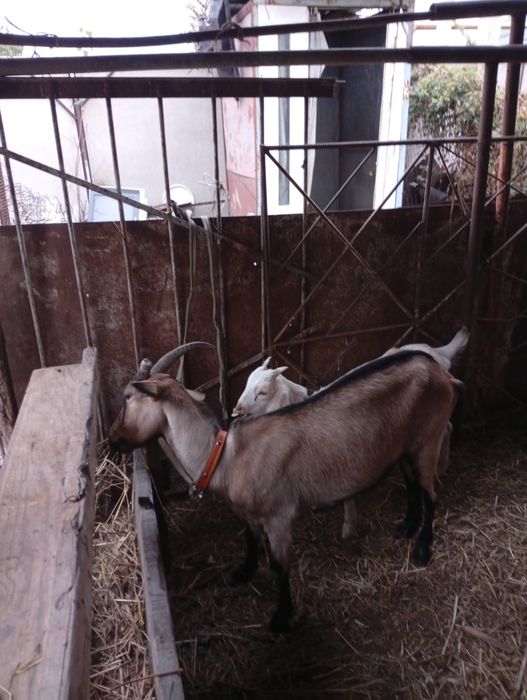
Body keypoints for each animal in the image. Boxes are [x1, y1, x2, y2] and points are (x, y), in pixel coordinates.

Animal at [109, 343, 461, 633]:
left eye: (127, 396)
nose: (112, 441)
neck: (225, 455)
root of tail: (439, 371)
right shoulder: (250, 513)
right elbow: (250, 540)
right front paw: (243, 573)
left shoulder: (279, 517)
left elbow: (280, 567)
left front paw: (281, 618)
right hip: (405, 446)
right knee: (413, 483)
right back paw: (406, 526)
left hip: (428, 438)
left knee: (431, 491)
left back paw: (422, 548)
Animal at [231, 328, 468, 540]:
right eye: (246, 382)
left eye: (263, 392)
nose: (237, 409)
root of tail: (437, 352)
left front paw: (348, 527)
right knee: (447, 428)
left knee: (444, 431)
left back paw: (442, 466)